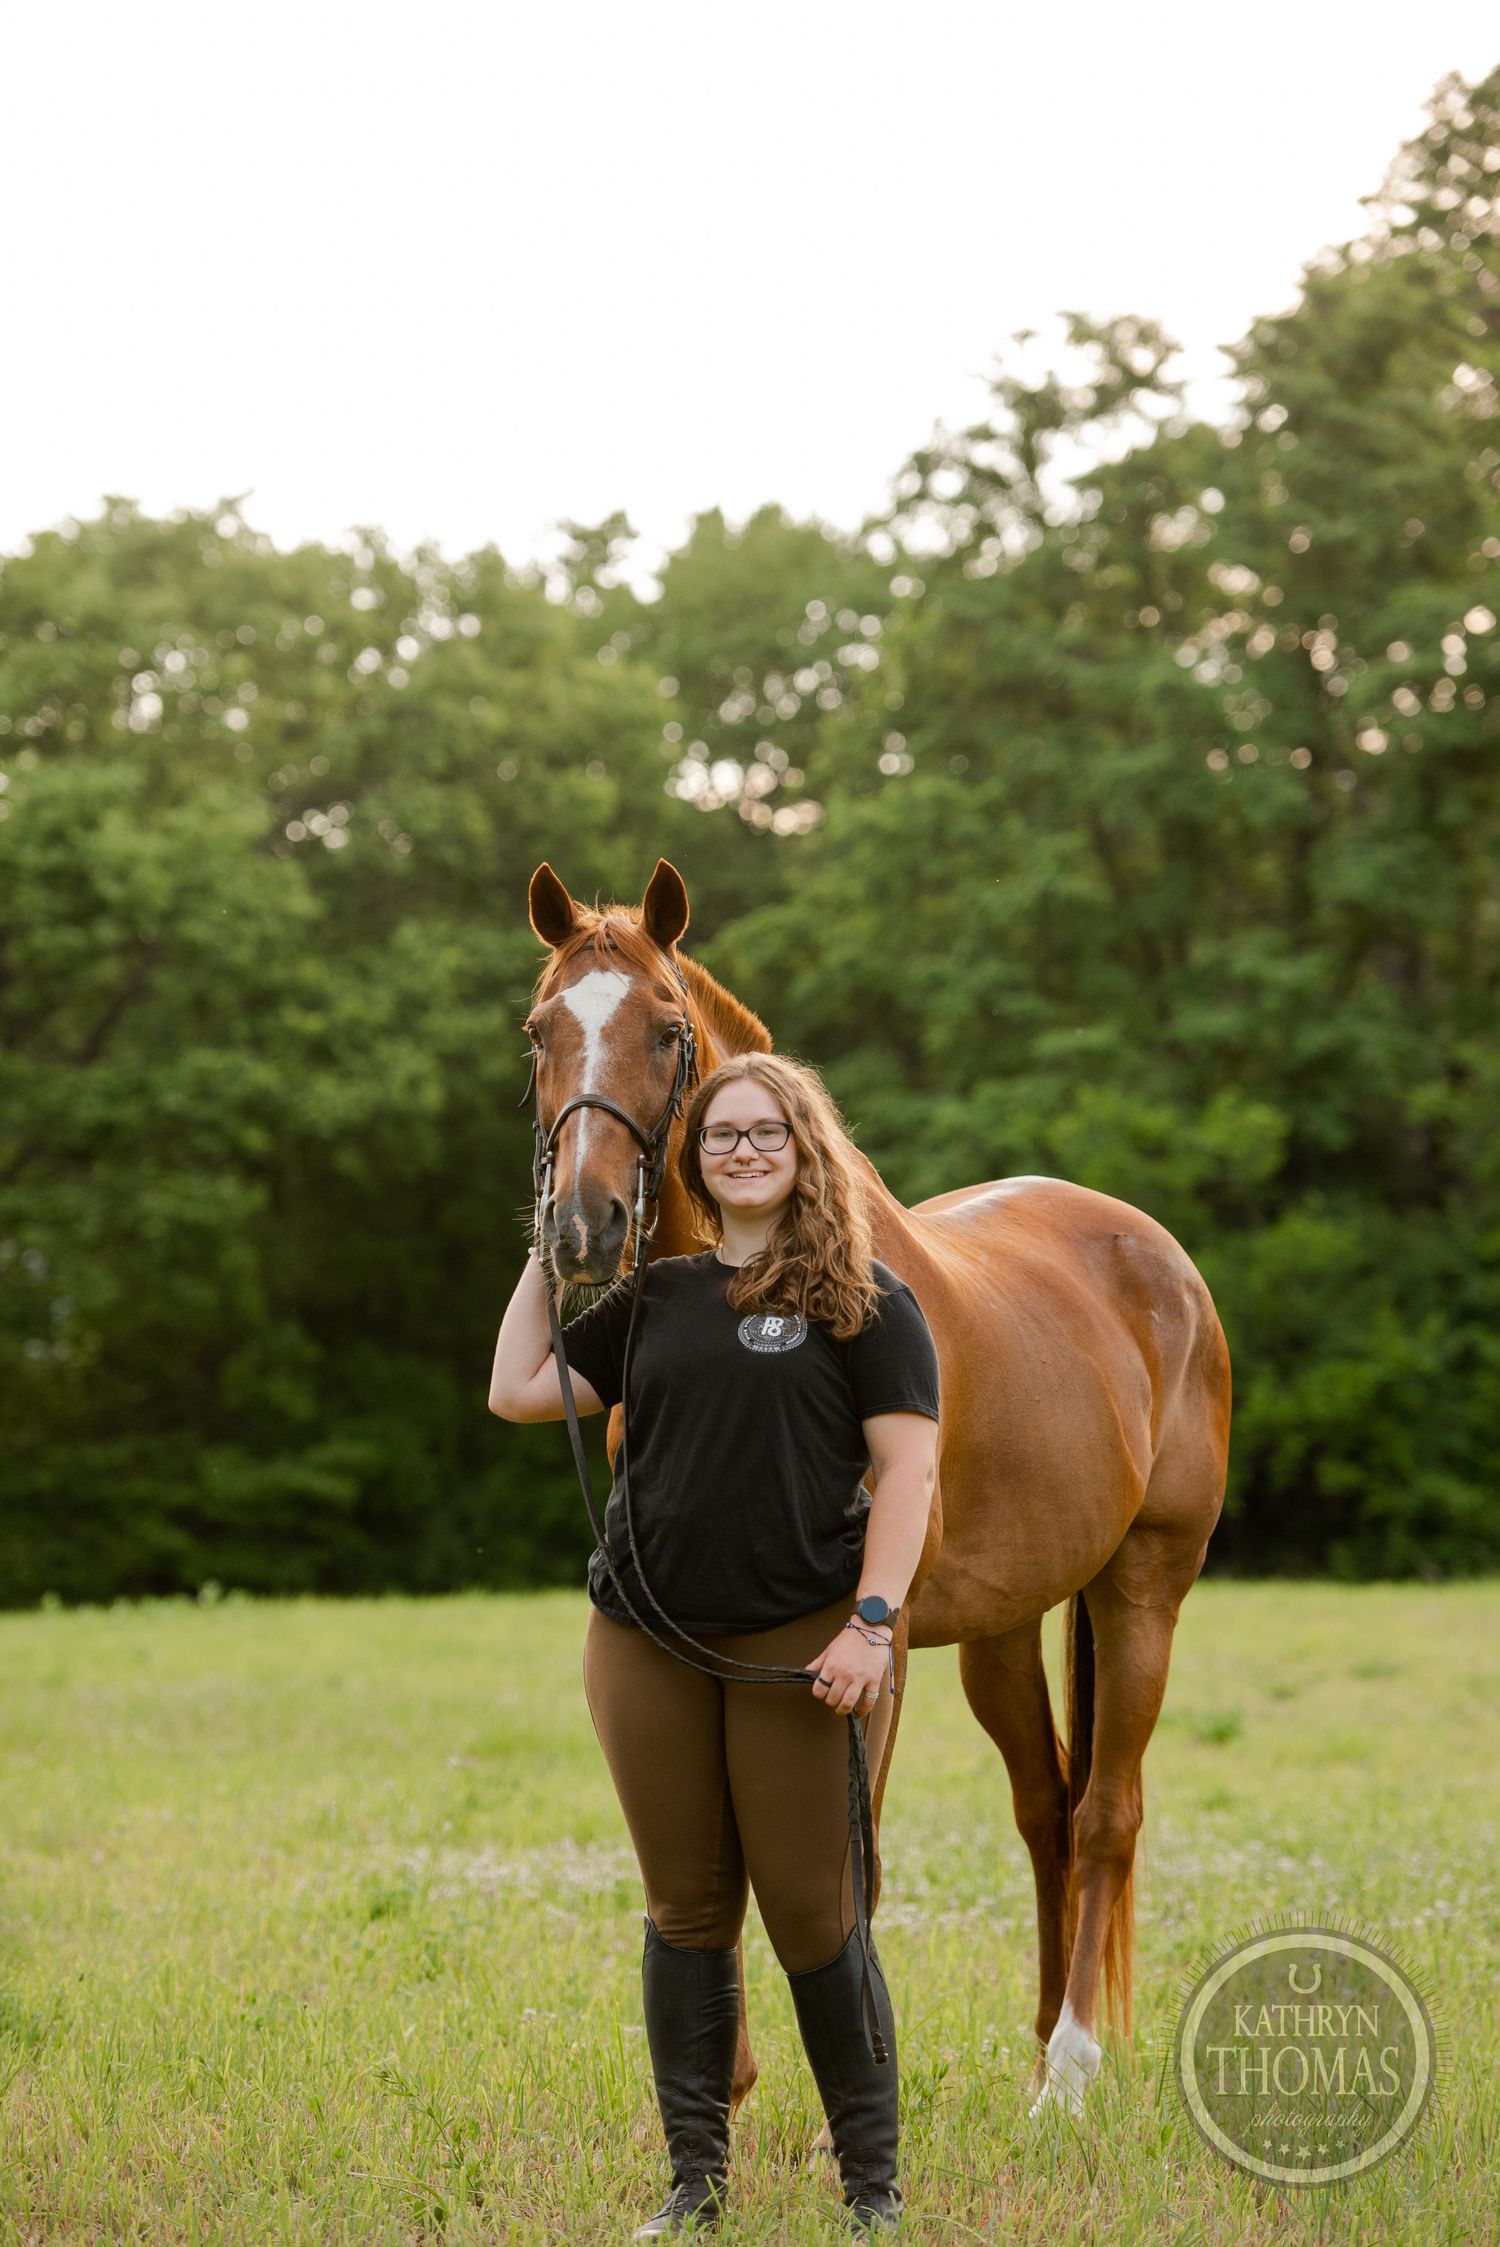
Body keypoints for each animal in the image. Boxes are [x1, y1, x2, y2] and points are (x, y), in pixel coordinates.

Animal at [521, 856, 1231, 2120]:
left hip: (1144, 1588)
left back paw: (1069, 2075)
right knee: (1047, 1811)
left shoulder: (870, 1649)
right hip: (1007, 1628)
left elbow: (848, 1869)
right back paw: (1038, 2047)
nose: (584, 1228)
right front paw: (733, 2087)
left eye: (666, 1032)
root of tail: (1160, 1259)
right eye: (538, 1032)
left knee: (1106, 1813)